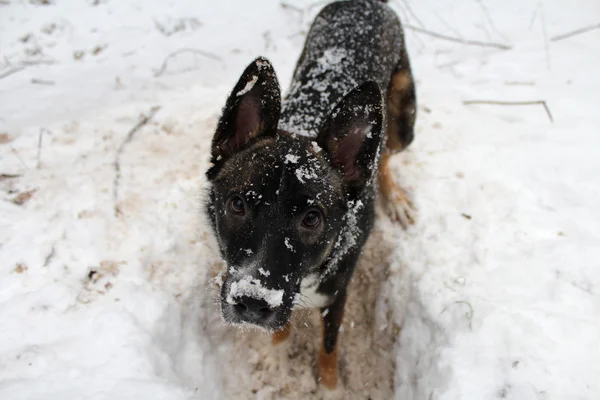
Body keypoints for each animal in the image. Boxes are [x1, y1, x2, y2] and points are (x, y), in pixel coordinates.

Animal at [204, 0, 414, 390]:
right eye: (237, 204)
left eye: (312, 219)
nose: (252, 302)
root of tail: (367, 3)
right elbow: (281, 329)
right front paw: (279, 349)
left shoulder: (337, 295)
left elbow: (329, 346)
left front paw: (330, 387)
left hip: (403, 120)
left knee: (387, 154)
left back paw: (396, 199)